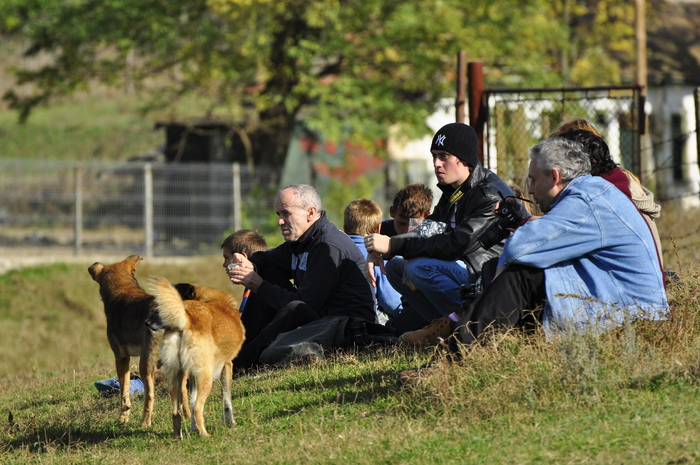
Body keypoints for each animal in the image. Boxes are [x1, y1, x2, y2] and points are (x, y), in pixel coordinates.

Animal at [87, 256, 178, 426]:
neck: (123, 290)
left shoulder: (121, 358)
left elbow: (124, 392)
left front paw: (123, 418)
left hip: (145, 364)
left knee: (150, 396)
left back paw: (144, 424)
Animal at [149, 278, 245, 440]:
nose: (146, 323)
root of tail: (186, 319)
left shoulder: (192, 375)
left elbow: (192, 400)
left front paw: (193, 430)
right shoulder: (227, 365)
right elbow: (226, 400)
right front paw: (230, 423)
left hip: (175, 376)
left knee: (176, 412)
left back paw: (178, 438)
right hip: (206, 378)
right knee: (198, 409)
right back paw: (205, 435)